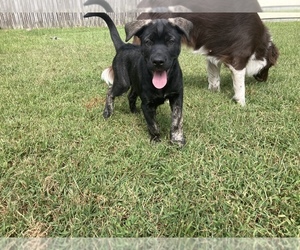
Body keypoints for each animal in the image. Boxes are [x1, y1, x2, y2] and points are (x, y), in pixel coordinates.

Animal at [84, 12, 192, 146]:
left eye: (171, 41)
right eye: (148, 41)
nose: (158, 61)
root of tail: (123, 46)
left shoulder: (177, 97)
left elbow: (177, 120)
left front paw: (177, 139)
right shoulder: (147, 105)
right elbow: (152, 124)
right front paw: (156, 139)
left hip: (135, 83)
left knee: (130, 96)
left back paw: (134, 111)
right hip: (123, 83)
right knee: (110, 92)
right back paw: (108, 112)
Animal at [102, 12, 278, 105]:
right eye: (270, 66)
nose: (264, 81)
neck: (260, 42)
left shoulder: (213, 54)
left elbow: (214, 78)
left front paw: (213, 93)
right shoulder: (239, 58)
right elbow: (240, 86)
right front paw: (241, 104)